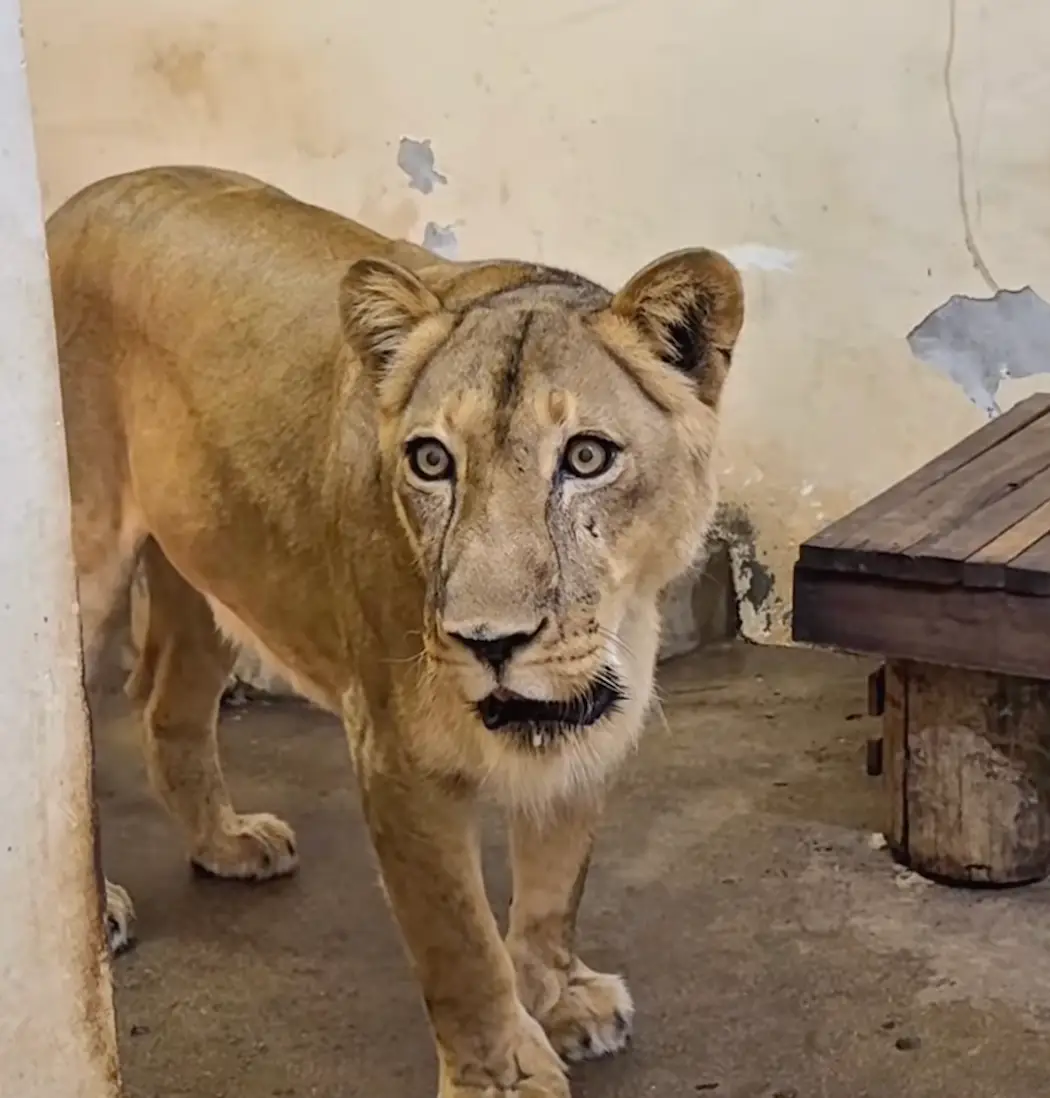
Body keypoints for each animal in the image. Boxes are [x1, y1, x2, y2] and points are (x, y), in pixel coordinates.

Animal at [46, 165, 744, 1097]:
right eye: (432, 461)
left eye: (588, 457)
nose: (490, 642)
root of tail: (74, 205)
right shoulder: (396, 752)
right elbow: (458, 942)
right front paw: (503, 1077)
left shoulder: (588, 724)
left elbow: (557, 880)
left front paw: (560, 998)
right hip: (83, 563)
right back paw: (104, 913)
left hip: (212, 557)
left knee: (166, 703)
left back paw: (226, 843)